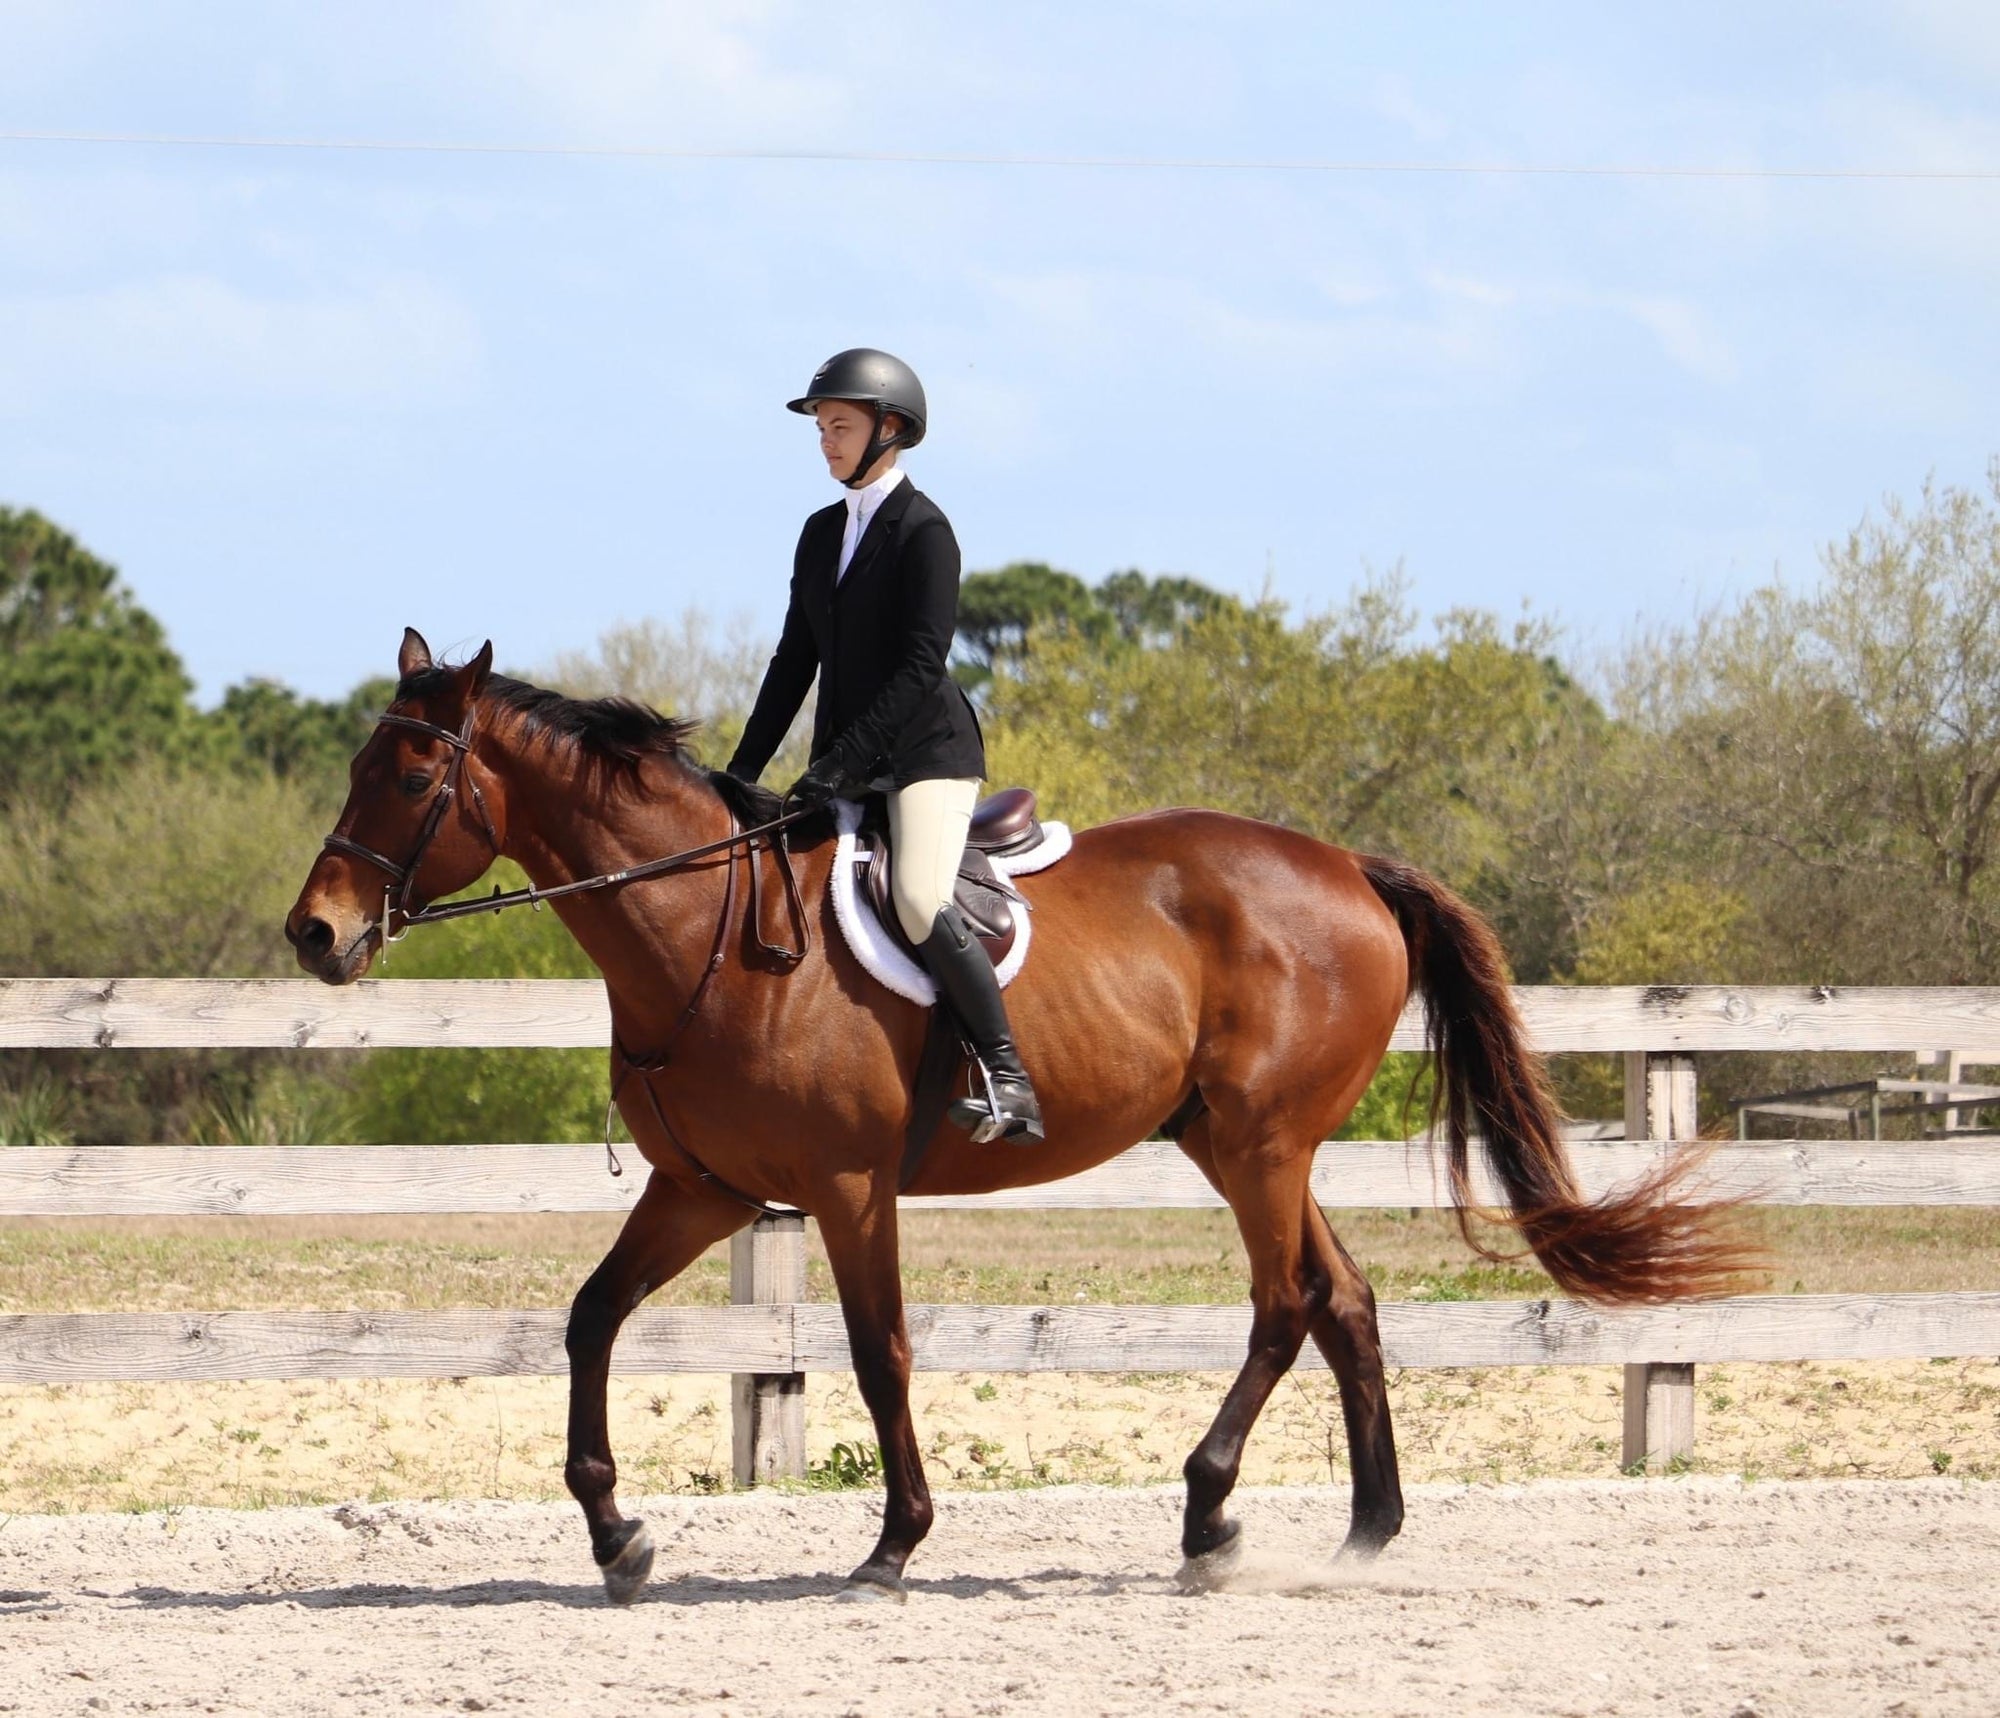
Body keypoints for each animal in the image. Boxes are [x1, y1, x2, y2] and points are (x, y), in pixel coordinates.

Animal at [285, 630, 1743, 1605]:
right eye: (356, 759)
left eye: (410, 778)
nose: (316, 934)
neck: (703, 929)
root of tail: (1346, 866)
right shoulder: (703, 1186)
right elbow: (592, 1317)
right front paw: (615, 1535)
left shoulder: (846, 1187)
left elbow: (879, 1352)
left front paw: (893, 1542)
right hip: (1240, 1141)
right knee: (1345, 1298)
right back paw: (1362, 1530)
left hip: (1262, 1143)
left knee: (1285, 1303)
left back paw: (1207, 1516)